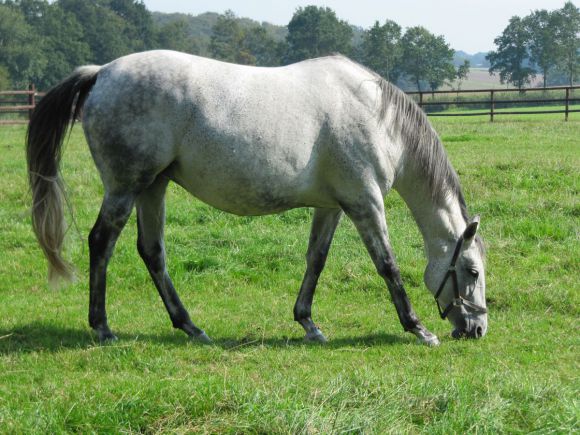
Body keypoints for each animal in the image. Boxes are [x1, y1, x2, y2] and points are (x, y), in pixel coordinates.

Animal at [28, 49, 490, 346]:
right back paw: (102, 328)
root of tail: (102, 72)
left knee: (152, 252)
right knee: (101, 243)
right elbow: (388, 266)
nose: (477, 329)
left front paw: (308, 324)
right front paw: (417, 328)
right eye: (471, 271)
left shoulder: (331, 207)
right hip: (126, 187)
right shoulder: (365, 203)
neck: (377, 118)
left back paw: (190, 327)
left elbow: (316, 260)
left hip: (152, 187)